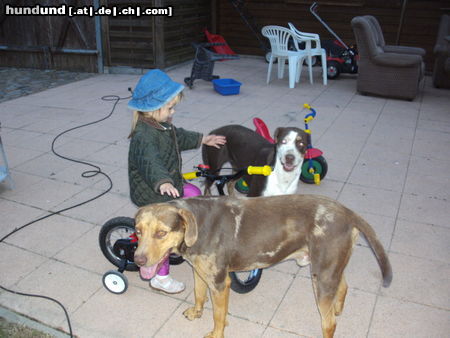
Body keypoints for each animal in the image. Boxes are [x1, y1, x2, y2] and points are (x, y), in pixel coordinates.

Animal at [133, 195, 390, 338]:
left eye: (161, 233)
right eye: (137, 230)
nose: (137, 261)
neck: (198, 224)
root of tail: (348, 212)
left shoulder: (220, 283)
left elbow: (218, 316)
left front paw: (216, 333)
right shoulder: (200, 271)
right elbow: (198, 295)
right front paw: (196, 312)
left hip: (323, 277)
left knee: (329, 324)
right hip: (328, 269)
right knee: (343, 286)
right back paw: (338, 307)